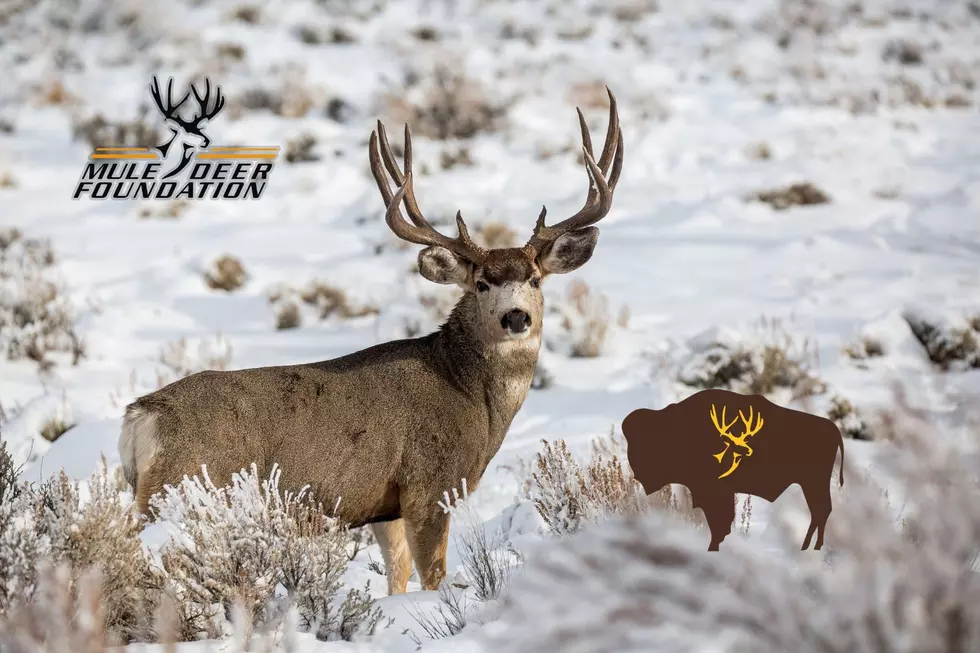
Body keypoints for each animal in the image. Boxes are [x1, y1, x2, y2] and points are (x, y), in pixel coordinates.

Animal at [119, 89, 623, 594]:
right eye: (481, 283)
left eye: (536, 279)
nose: (516, 316)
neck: (466, 390)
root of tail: (141, 415)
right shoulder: (429, 484)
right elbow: (433, 577)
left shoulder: (386, 505)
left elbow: (397, 577)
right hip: (181, 490)